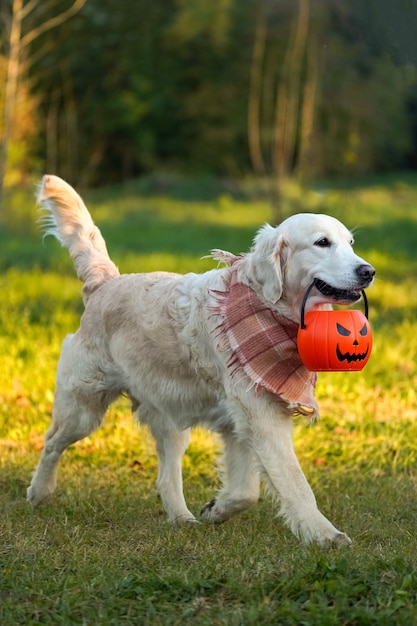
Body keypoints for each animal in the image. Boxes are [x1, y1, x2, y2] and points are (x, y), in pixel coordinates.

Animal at [27, 173, 376, 544]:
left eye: (350, 243)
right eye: (322, 243)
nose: (368, 271)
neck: (267, 307)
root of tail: (105, 283)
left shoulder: (240, 423)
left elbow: (246, 491)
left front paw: (216, 509)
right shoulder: (262, 416)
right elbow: (295, 484)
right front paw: (324, 534)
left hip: (168, 415)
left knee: (166, 478)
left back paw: (183, 518)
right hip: (83, 408)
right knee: (52, 443)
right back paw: (38, 492)